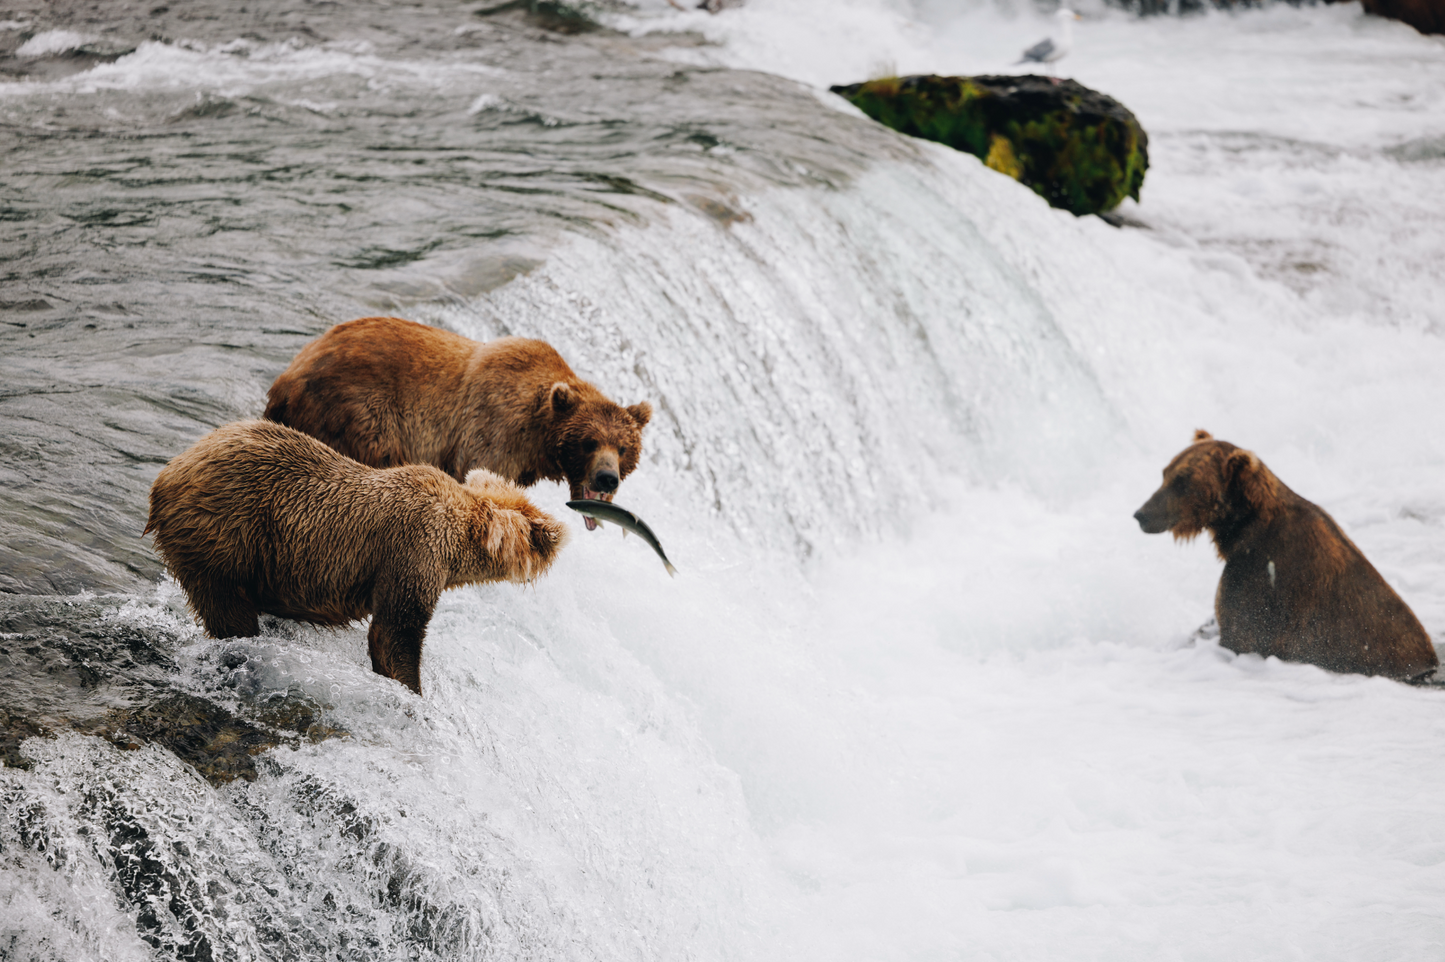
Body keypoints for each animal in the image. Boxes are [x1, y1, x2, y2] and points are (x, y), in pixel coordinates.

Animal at [145, 419, 568, 695]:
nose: (559, 533)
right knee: (227, 607)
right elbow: (395, 631)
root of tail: (169, 472)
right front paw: (410, 688)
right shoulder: (414, 549)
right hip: (225, 531)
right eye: (536, 531)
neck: (456, 548)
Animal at [263, 316, 653, 532]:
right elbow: (480, 472)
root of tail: (288, 376)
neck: (539, 435)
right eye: (589, 442)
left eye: (623, 448)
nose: (607, 477)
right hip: (358, 410)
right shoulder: (494, 428)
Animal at [1134, 430, 1438, 681]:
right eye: (1165, 472)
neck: (1244, 529)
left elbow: (1239, 630)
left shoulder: (1259, 579)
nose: (1141, 514)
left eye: (1183, 480)